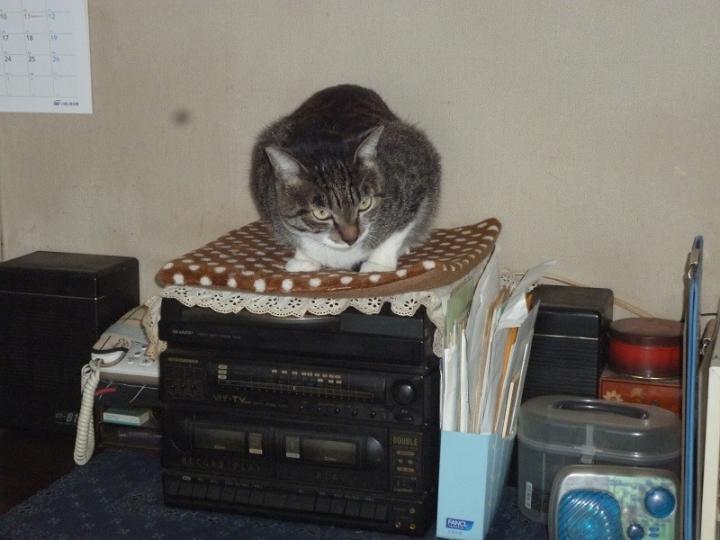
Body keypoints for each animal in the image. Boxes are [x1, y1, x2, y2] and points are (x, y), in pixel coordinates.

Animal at [250, 84, 441, 273]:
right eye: (321, 213)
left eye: (365, 203)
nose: (351, 239)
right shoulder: (267, 193)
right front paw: (303, 259)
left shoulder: (415, 173)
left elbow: (397, 232)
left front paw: (378, 265)